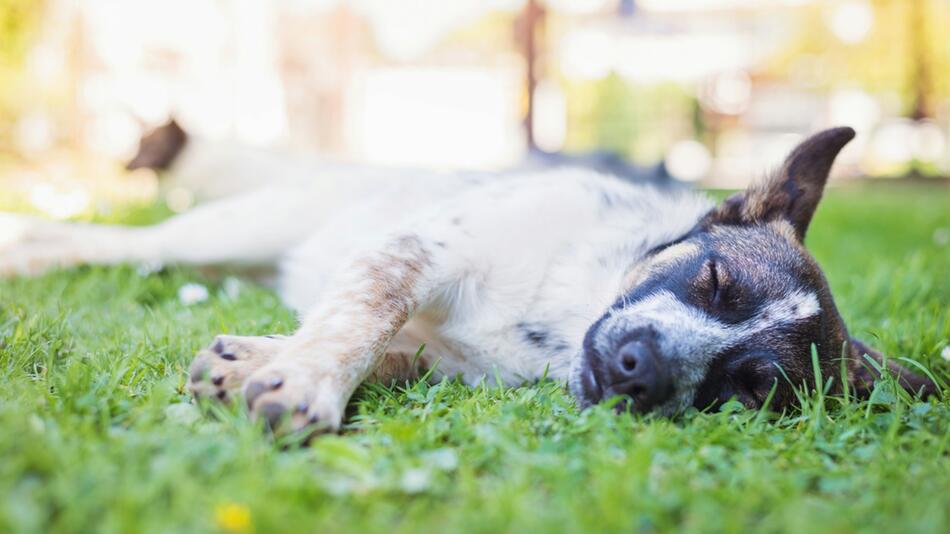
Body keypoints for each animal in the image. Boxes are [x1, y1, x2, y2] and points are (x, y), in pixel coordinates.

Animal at [0, 126, 936, 436]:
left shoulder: (436, 356)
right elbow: (362, 317)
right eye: (711, 280)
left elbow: (367, 339)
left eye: (751, 389)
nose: (640, 371)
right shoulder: (420, 249)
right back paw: (27, 245)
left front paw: (264, 362)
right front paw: (305, 380)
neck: (564, 317)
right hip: (233, 226)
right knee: (118, 244)